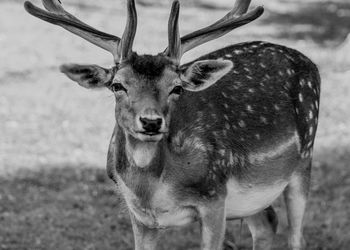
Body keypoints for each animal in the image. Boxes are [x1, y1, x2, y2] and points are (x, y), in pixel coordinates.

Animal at [24, 0, 320, 249]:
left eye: (176, 87)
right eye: (117, 85)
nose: (151, 121)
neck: (153, 191)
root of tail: (309, 61)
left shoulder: (215, 197)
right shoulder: (139, 216)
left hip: (303, 160)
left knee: (296, 236)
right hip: (252, 197)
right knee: (267, 224)